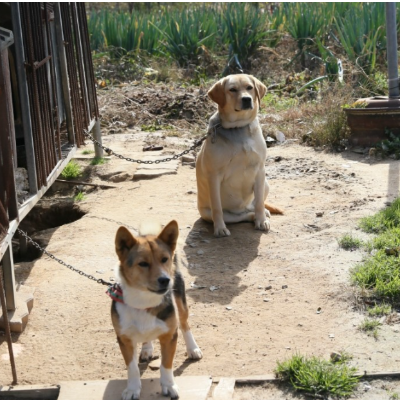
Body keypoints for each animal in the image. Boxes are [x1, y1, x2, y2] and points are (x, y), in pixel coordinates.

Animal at [109, 220, 202, 398]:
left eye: (164, 259)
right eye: (143, 263)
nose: (165, 280)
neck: (144, 301)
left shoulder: (169, 336)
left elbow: (166, 365)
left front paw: (169, 386)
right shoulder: (124, 339)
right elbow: (132, 369)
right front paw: (132, 389)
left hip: (181, 303)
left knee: (185, 324)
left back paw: (193, 348)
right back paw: (147, 349)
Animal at [195, 73, 282, 236]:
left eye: (250, 87)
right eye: (232, 89)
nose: (246, 99)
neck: (238, 127)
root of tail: (242, 209)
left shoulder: (260, 170)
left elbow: (259, 203)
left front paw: (262, 221)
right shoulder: (214, 176)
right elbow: (217, 207)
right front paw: (220, 228)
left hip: (265, 183)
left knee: (256, 206)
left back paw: (262, 215)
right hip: (210, 213)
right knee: (242, 216)